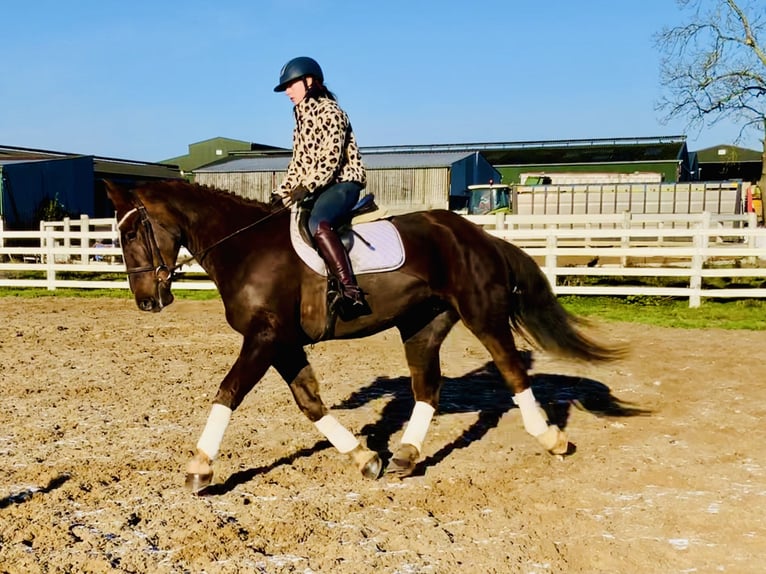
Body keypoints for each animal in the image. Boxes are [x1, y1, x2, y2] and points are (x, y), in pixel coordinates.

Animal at [106, 181, 624, 496]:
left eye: (131, 234)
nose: (146, 301)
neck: (244, 248)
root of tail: (476, 234)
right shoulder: (283, 342)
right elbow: (310, 402)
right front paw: (363, 457)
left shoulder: (265, 337)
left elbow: (227, 392)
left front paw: (199, 467)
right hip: (421, 327)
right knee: (427, 389)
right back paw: (406, 456)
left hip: (483, 315)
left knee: (513, 372)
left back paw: (552, 440)